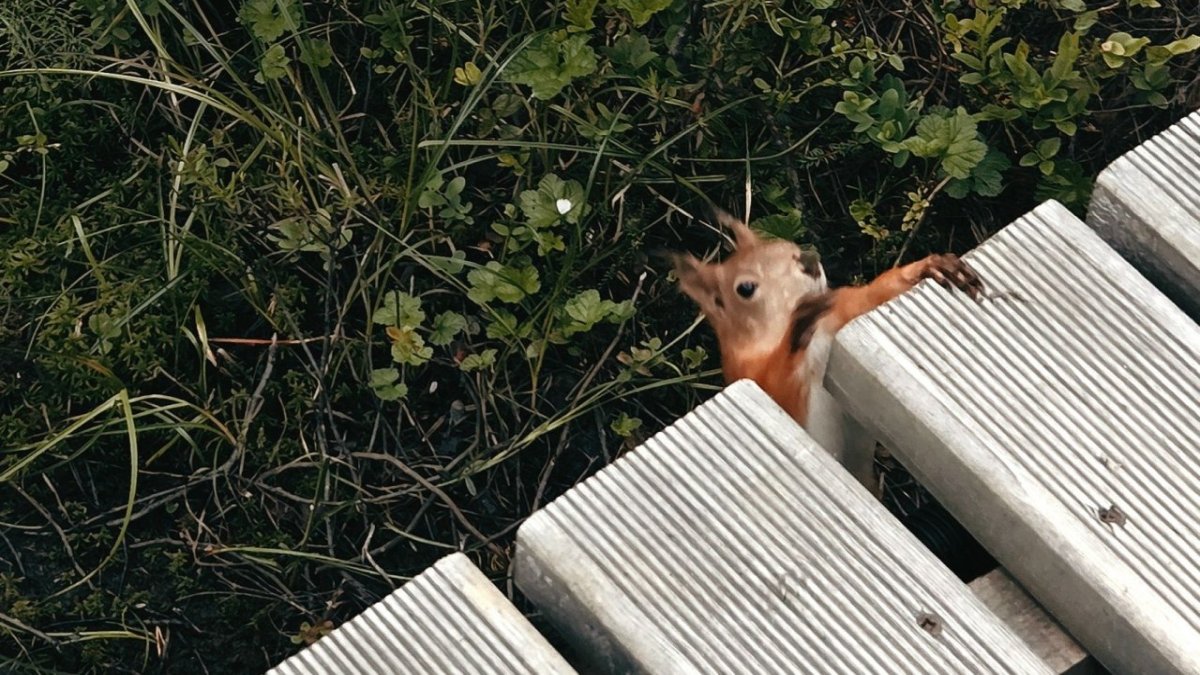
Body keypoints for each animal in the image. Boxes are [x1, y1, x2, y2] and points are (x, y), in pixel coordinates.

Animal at [669, 210, 982, 488]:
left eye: (786, 245)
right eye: (745, 288)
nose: (809, 260)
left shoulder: (842, 307)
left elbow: (875, 294)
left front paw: (926, 267)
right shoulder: (751, 374)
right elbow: (781, 385)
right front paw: (796, 329)